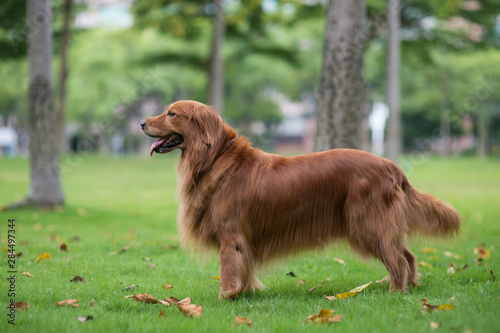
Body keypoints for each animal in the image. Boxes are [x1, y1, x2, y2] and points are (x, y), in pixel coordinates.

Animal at [141, 100, 460, 296]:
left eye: (171, 113)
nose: (142, 123)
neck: (215, 158)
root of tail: (392, 165)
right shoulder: (243, 238)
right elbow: (244, 268)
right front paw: (245, 293)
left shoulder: (231, 234)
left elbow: (229, 268)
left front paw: (227, 296)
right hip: (379, 226)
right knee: (408, 254)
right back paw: (411, 287)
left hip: (367, 224)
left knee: (398, 259)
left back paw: (395, 292)